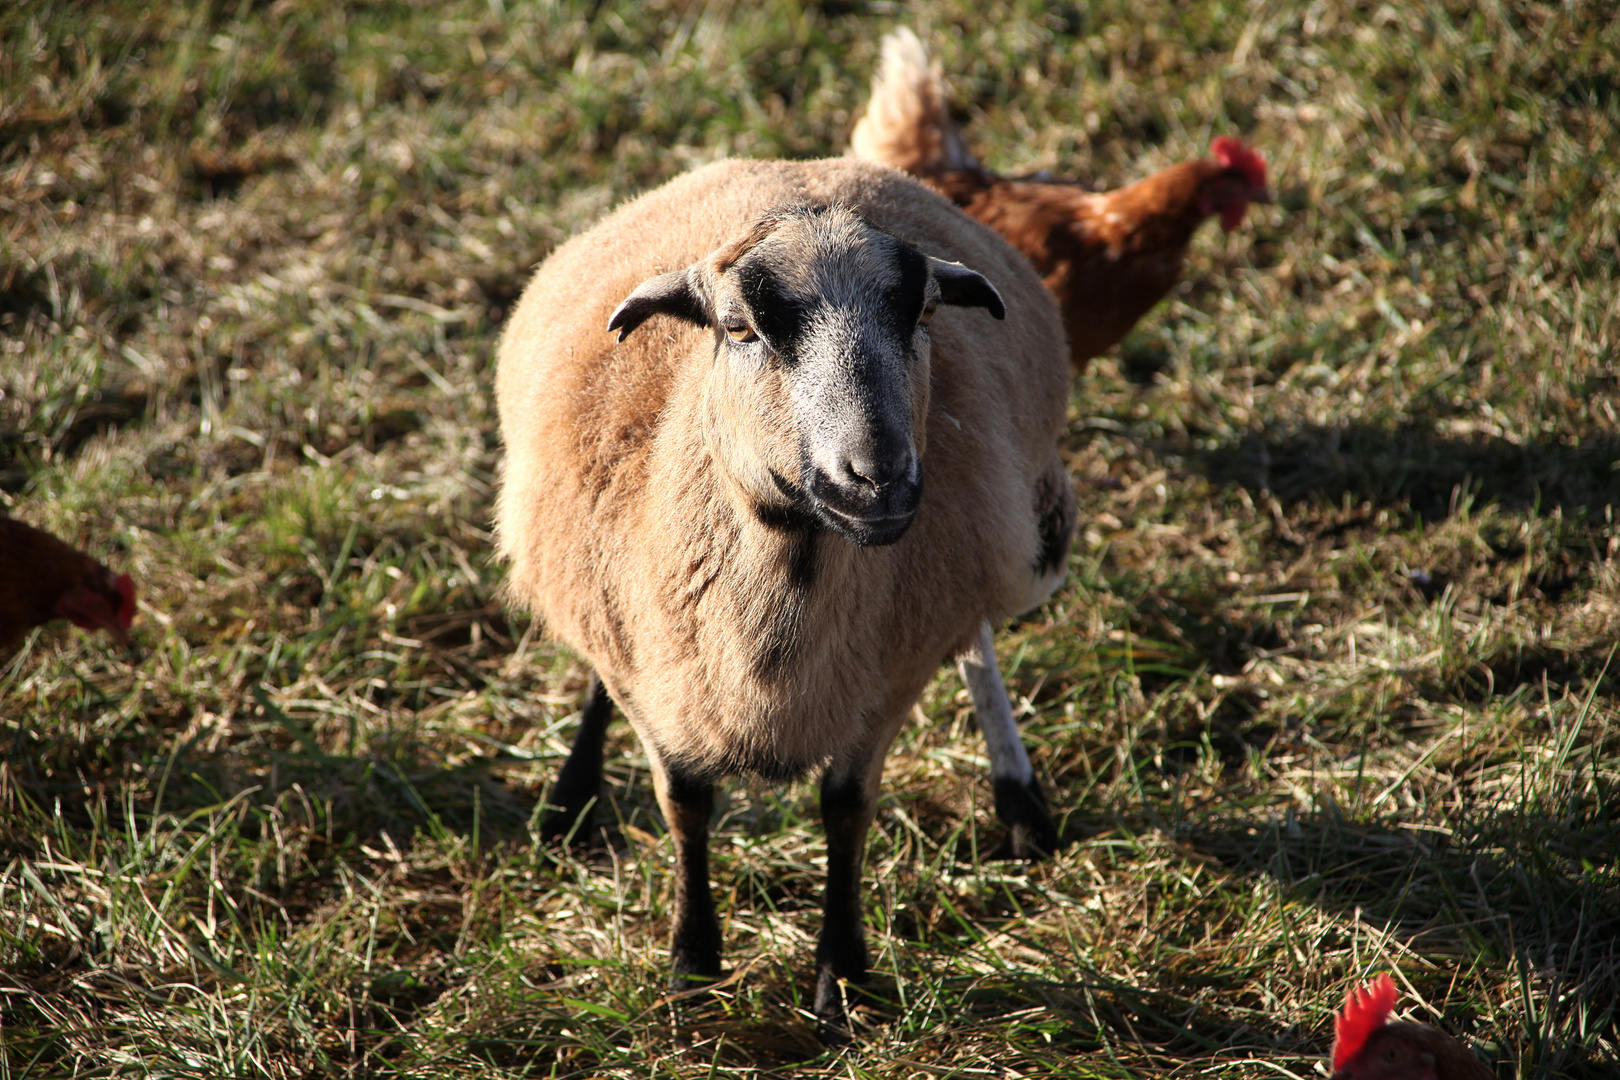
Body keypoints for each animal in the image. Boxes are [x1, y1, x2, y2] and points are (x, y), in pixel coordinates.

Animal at [492, 156, 1075, 1036]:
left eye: (923, 314)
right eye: (739, 330)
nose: (877, 479)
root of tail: (786, 167)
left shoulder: (888, 680)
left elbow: (846, 806)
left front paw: (843, 977)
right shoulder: (660, 677)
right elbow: (685, 801)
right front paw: (691, 964)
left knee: (976, 638)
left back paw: (1020, 802)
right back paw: (568, 801)